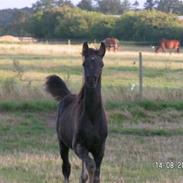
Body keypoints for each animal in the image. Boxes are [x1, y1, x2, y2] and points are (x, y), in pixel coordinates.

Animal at [45, 42, 108, 182]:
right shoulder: (78, 145)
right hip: (62, 143)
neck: (93, 117)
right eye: (84, 63)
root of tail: (67, 96)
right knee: (66, 168)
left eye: (101, 64)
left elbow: (96, 174)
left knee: (82, 174)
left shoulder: (100, 149)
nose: (91, 80)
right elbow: (91, 166)